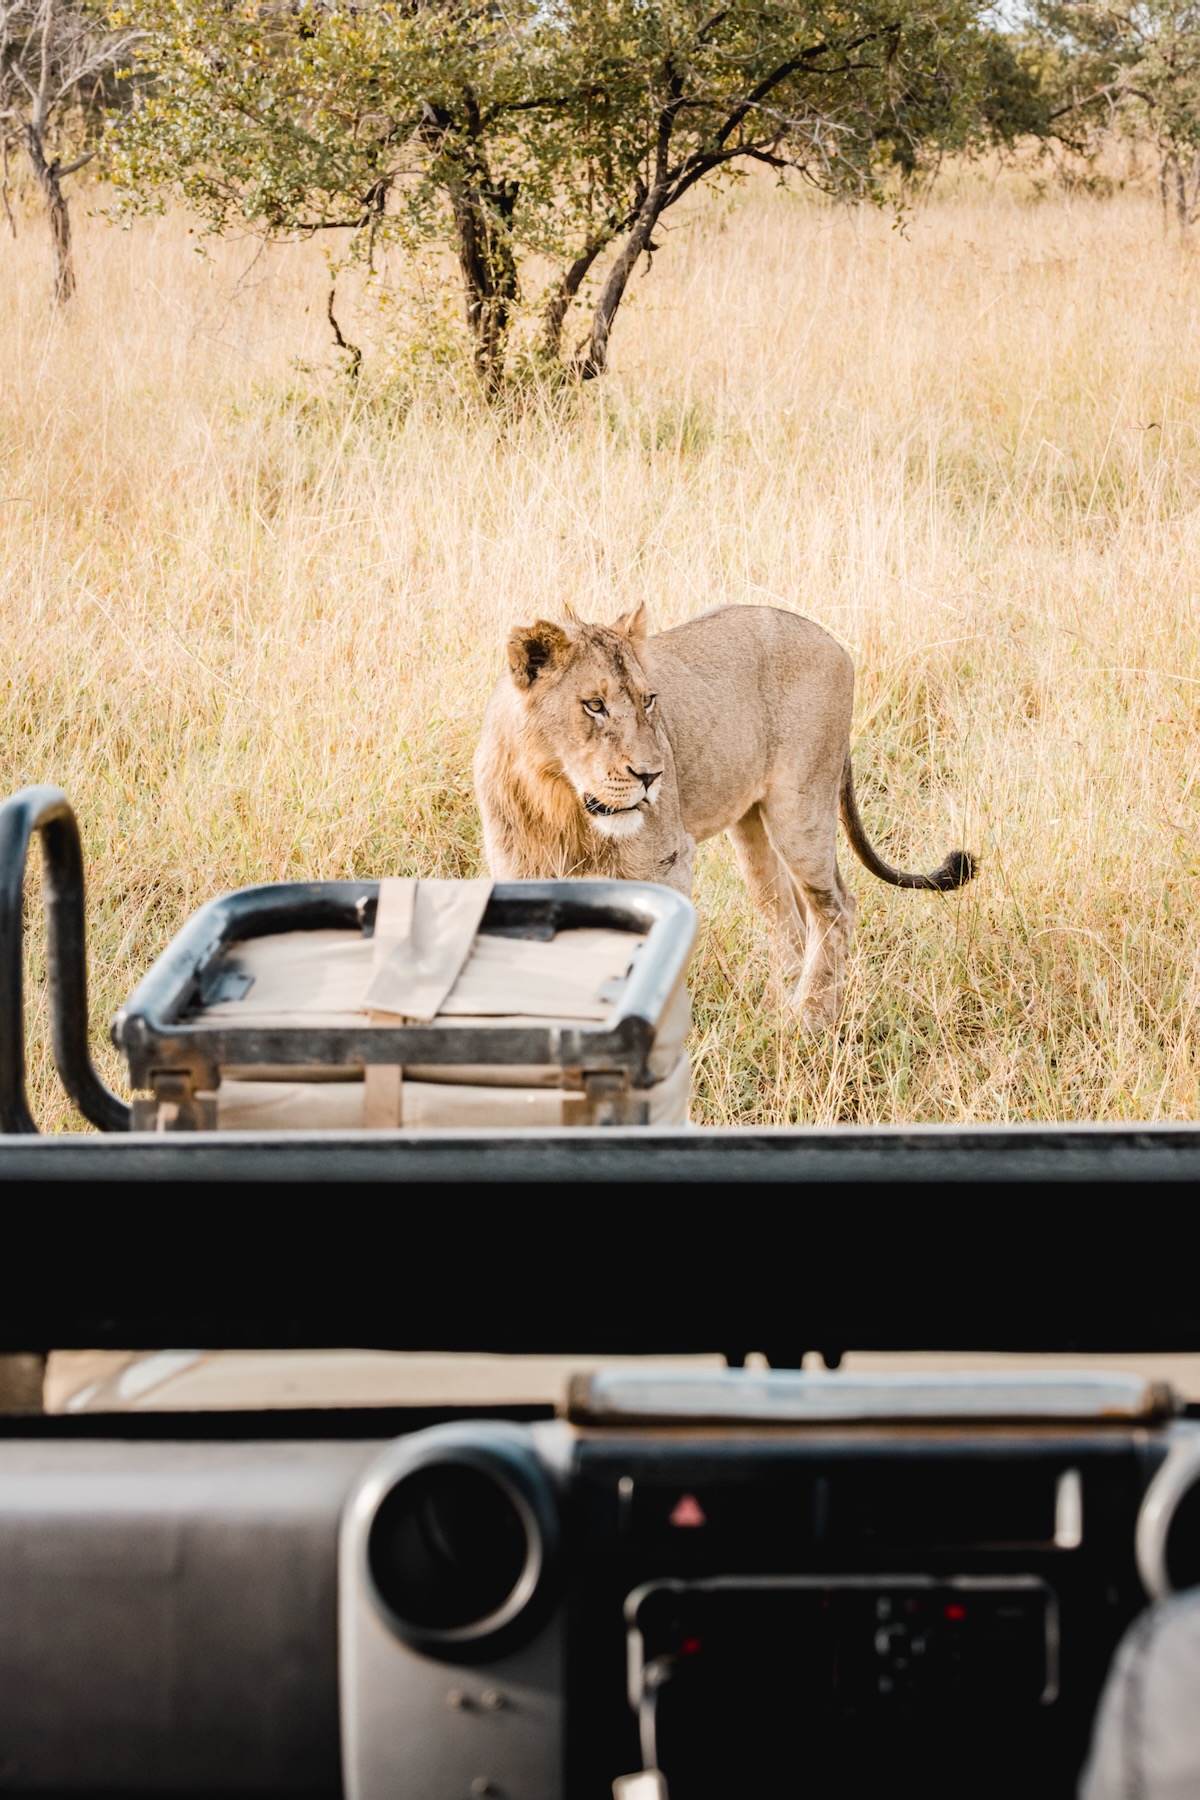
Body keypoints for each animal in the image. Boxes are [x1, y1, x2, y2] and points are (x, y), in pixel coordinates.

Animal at [471, 601, 978, 1029]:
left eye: (649, 700)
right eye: (594, 706)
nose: (652, 775)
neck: (559, 801)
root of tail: (831, 640)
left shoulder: (666, 861)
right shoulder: (519, 874)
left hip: (799, 810)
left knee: (835, 905)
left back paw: (810, 1019)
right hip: (752, 830)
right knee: (789, 919)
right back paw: (776, 1011)